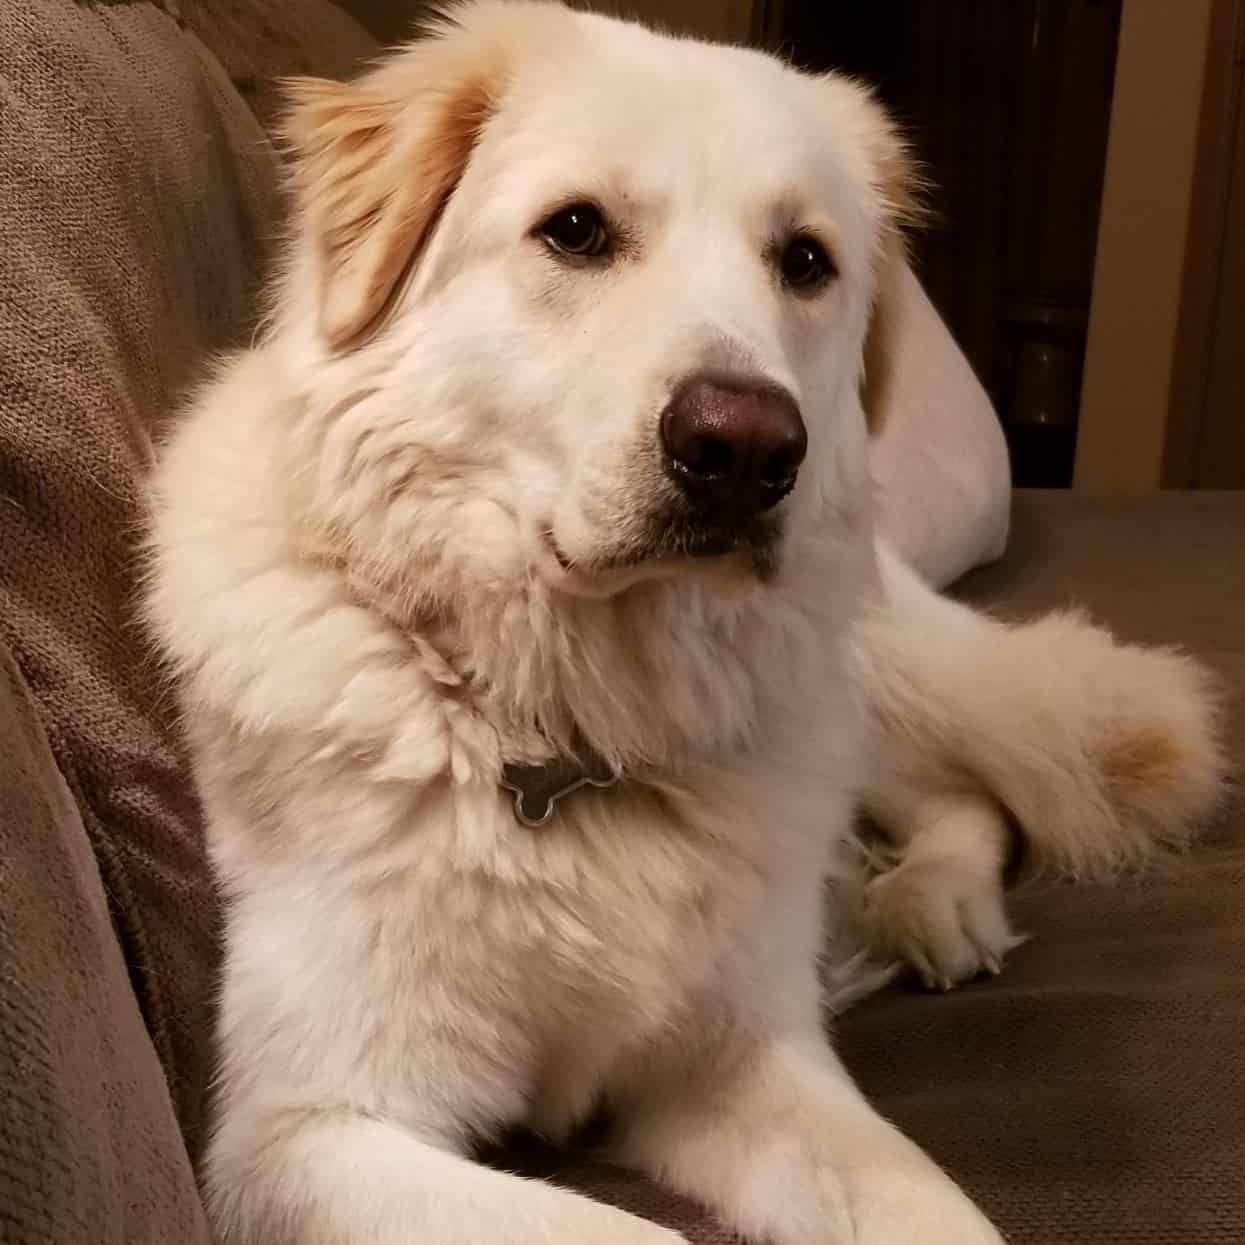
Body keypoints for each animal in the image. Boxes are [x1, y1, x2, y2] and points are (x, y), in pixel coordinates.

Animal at [143, 4, 1225, 1240]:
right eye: (575, 231)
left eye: (805, 262)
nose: (748, 448)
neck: (571, 733)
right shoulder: (303, 1134)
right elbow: (622, 1231)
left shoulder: (741, 1062)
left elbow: (933, 1206)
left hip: (844, 689)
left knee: (957, 792)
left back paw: (931, 903)